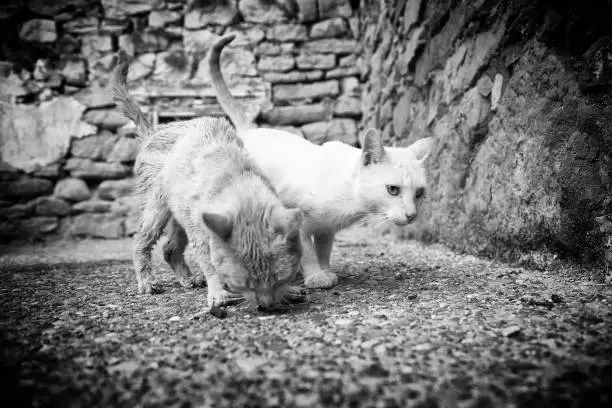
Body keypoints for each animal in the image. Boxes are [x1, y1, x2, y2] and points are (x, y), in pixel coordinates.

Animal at [111, 49, 304, 308]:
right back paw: (147, 283)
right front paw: (218, 292)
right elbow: (210, 262)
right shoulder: (200, 233)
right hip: (157, 209)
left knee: (170, 249)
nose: (265, 305)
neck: (236, 181)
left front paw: (289, 290)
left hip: (179, 216)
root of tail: (152, 132)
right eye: (245, 283)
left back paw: (188, 279)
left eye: (278, 278)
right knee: (141, 242)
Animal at [208, 34, 432, 290]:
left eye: (419, 193)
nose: (412, 215)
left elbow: (323, 250)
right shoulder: (297, 221)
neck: (348, 198)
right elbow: (307, 251)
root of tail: (250, 130)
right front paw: (315, 276)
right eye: (392, 190)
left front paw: (325, 271)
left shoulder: (327, 228)